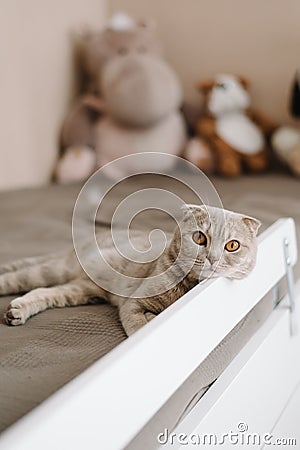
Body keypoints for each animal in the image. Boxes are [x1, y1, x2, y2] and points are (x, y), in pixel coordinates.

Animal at [0, 206, 260, 336]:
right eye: (199, 238)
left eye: (232, 245)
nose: (212, 258)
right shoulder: (133, 304)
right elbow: (139, 327)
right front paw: (150, 323)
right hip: (54, 270)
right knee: (16, 279)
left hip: (79, 290)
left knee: (43, 292)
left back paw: (16, 311)